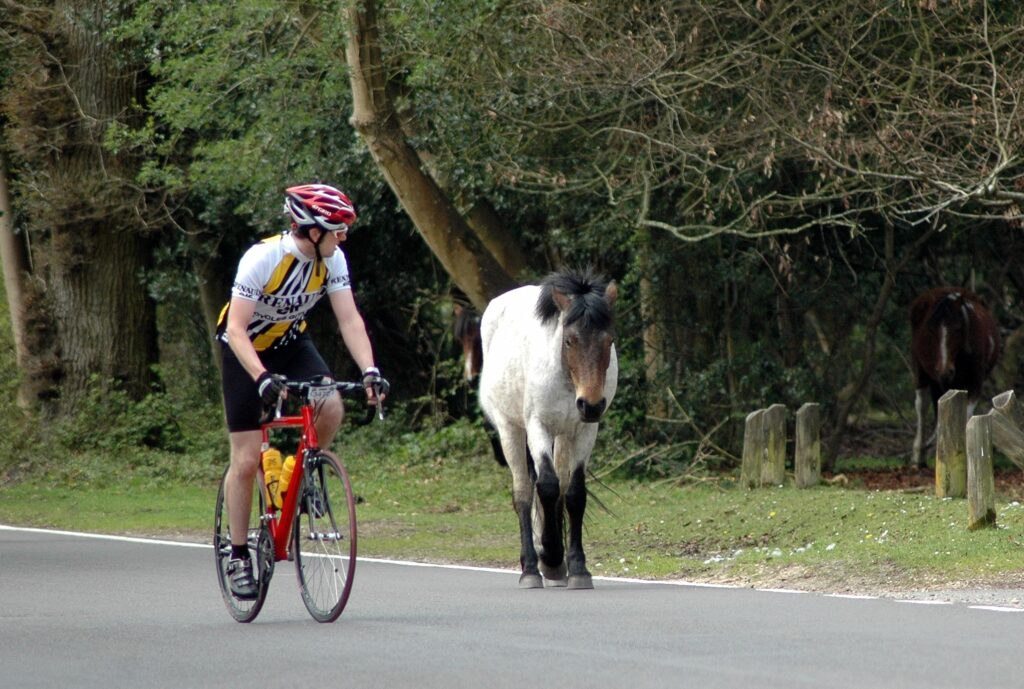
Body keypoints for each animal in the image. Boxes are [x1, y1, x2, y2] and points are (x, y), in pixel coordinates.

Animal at [479, 268, 618, 589]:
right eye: (569, 340)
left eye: (609, 341)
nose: (591, 404)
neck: (566, 378)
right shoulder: (537, 427)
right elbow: (546, 486)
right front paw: (551, 557)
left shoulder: (584, 431)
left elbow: (574, 493)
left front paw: (577, 568)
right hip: (511, 431)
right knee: (523, 493)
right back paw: (531, 568)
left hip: (563, 436)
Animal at [910, 287, 1000, 469]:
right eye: (931, 329)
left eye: (958, 328)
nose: (945, 371)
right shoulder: (938, 380)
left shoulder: (975, 380)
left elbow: (965, 413)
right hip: (922, 371)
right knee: (921, 405)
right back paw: (919, 455)